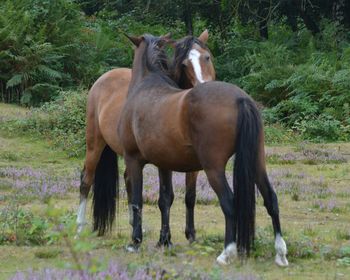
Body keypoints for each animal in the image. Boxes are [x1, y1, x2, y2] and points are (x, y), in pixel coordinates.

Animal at [76, 29, 216, 242]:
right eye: (184, 64)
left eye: (206, 57)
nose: (204, 89)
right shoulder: (164, 162)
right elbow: (166, 197)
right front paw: (165, 238)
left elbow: (189, 197)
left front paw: (190, 235)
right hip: (94, 143)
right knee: (86, 180)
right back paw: (79, 227)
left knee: (128, 180)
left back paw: (133, 224)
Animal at [118, 34, 290, 266]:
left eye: (207, 57)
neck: (146, 85)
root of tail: (241, 99)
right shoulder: (164, 164)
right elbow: (165, 199)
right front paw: (165, 241)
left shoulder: (133, 160)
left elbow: (137, 201)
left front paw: (135, 242)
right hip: (257, 162)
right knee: (271, 199)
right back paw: (280, 253)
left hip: (213, 169)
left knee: (229, 202)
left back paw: (227, 253)